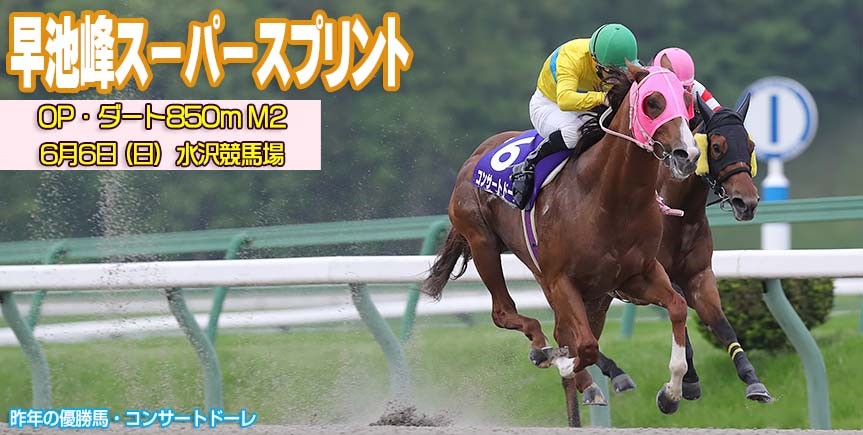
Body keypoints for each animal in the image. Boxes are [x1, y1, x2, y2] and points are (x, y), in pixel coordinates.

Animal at [421, 60, 701, 419]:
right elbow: (585, 345)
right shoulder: (561, 280)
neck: (610, 198)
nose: (687, 154)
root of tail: (476, 154)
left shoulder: (637, 276)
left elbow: (677, 307)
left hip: (584, 291)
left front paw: (671, 392)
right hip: (483, 242)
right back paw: (544, 351)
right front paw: (566, 364)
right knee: (505, 313)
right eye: (653, 102)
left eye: (686, 99)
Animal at [595, 93, 773, 404]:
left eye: (750, 146)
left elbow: (723, 325)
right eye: (716, 147)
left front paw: (753, 381)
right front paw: (688, 381)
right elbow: (681, 320)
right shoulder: (657, 279)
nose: (747, 203)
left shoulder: (699, 277)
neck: (680, 216)